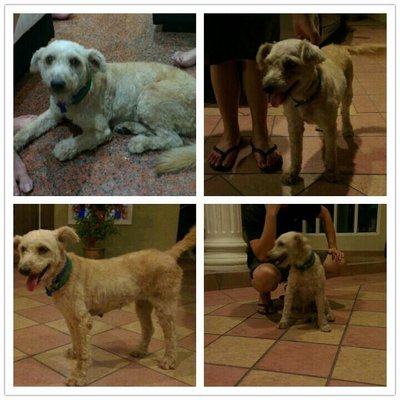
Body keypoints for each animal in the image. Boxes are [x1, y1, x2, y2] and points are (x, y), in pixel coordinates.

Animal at [14, 39, 196, 175]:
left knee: (173, 139)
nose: (57, 84)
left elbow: (81, 140)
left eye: (74, 61)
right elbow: (31, 128)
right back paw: (128, 127)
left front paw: (64, 147)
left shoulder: (101, 131)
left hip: (150, 97)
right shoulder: (54, 113)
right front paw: (15, 142)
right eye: (49, 59)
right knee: (160, 132)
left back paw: (140, 142)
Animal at [14, 225, 196, 384]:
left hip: (165, 306)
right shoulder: (70, 318)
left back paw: (169, 360)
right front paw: (75, 352)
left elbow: (85, 352)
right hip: (142, 305)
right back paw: (140, 351)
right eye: (22, 249)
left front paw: (79, 376)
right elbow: (75, 340)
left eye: (43, 249)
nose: (23, 270)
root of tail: (168, 254)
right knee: (149, 329)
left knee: (172, 335)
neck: (66, 273)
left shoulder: (83, 320)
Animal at [256, 38, 384, 184]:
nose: (266, 88)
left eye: (290, 64)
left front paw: (332, 172)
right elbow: (296, 152)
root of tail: (340, 45)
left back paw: (347, 129)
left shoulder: (329, 127)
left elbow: (330, 152)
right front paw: (293, 173)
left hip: (348, 92)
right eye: (268, 62)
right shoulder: (294, 125)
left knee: (345, 112)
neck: (306, 98)